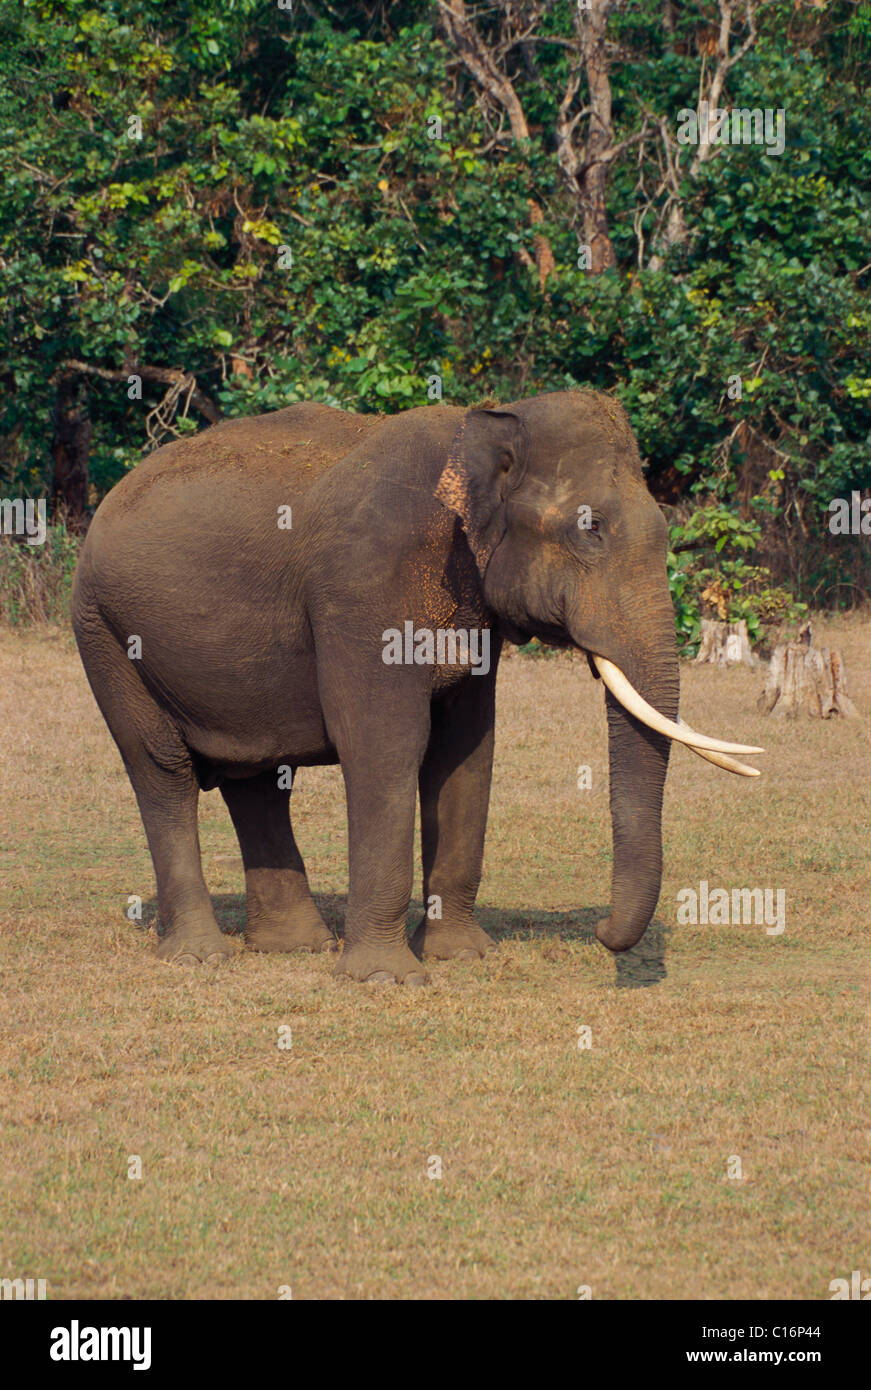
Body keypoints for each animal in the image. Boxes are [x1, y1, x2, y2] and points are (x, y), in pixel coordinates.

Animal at [71, 386, 761, 984]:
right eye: (589, 530)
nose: (599, 934)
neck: (481, 426)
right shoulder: (363, 584)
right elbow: (386, 746)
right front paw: (386, 979)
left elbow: (466, 753)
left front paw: (463, 957)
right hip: (103, 633)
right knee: (162, 770)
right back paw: (199, 956)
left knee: (257, 779)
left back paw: (296, 946)